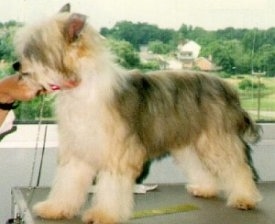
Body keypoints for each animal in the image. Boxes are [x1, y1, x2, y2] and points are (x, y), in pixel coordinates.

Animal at [14, 3, 262, 224]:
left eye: (34, 50)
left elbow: (111, 187)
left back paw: (245, 198)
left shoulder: (118, 153)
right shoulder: (78, 150)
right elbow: (67, 183)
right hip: (188, 142)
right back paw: (205, 188)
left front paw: (104, 215)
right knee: (200, 167)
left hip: (217, 140)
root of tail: (226, 86)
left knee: (239, 168)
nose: (16, 65)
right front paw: (55, 208)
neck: (82, 87)